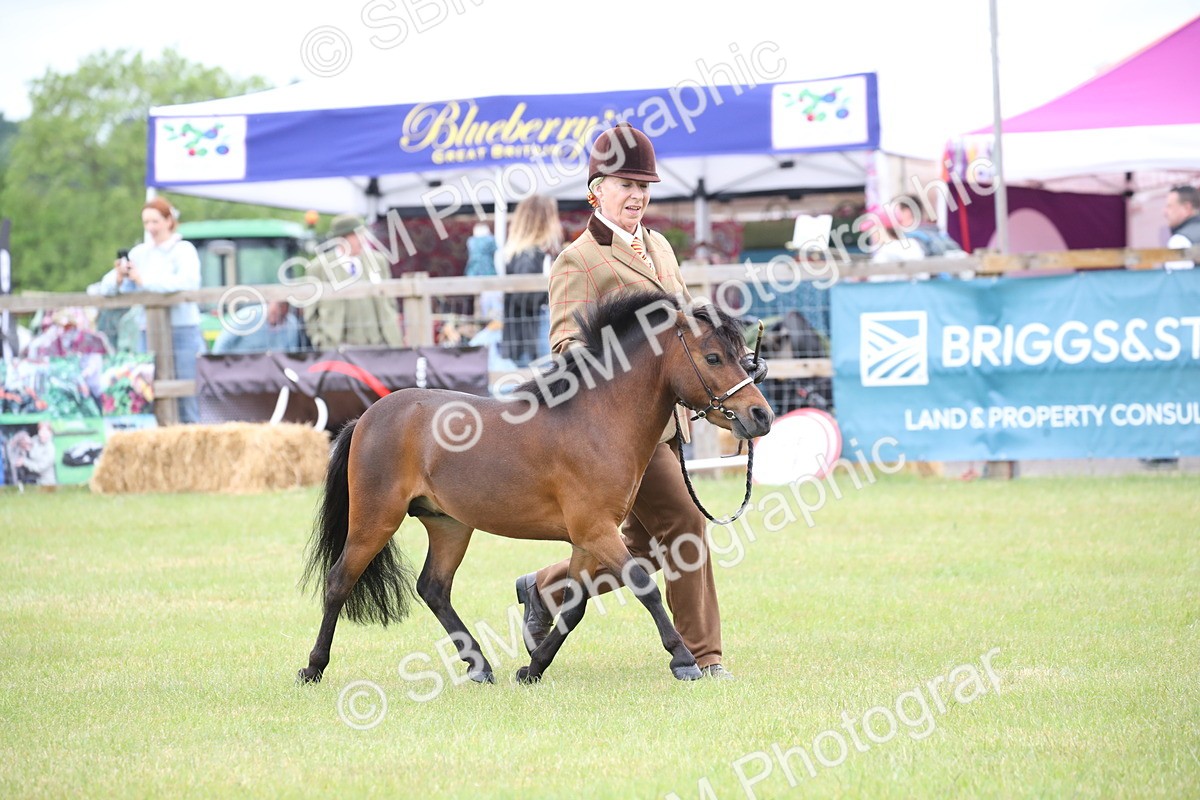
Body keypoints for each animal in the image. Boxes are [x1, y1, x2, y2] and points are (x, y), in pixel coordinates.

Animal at [297, 290, 775, 685]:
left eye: (742, 357)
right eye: (713, 358)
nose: (762, 416)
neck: (597, 420)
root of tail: (368, 417)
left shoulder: (587, 540)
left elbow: (576, 605)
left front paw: (533, 667)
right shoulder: (597, 532)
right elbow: (645, 586)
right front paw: (684, 660)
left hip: (449, 525)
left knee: (433, 588)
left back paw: (479, 666)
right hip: (375, 519)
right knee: (339, 581)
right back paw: (313, 667)